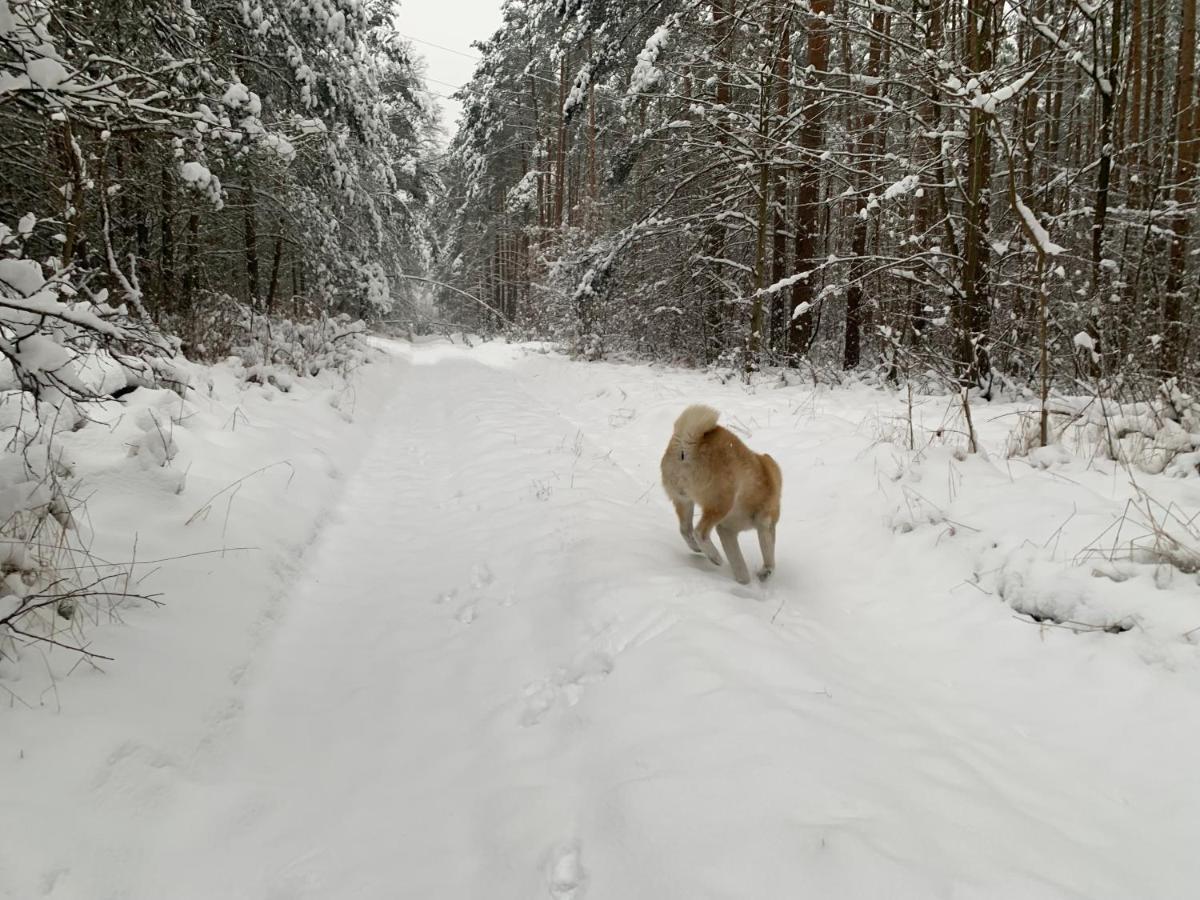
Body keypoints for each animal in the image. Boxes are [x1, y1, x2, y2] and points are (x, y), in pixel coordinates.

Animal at [662, 405, 782, 588]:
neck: (766, 475)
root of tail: (689, 441)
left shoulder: (726, 530)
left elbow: (738, 561)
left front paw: (743, 581)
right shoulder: (765, 524)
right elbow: (769, 558)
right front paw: (764, 574)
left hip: (684, 501)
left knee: (685, 530)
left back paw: (698, 549)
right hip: (721, 503)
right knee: (700, 532)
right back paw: (715, 557)